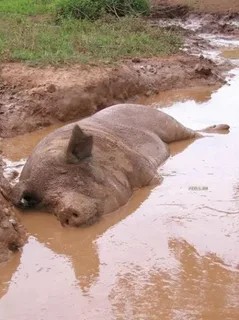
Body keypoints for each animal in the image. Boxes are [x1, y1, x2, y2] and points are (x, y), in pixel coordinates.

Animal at [0, 104, 229, 226]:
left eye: (68, 172)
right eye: (40, 199)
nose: (64, 211)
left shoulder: (142, 166)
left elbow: (156, 180)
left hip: (166, 122)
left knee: (192, 132)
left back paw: (224, 128)